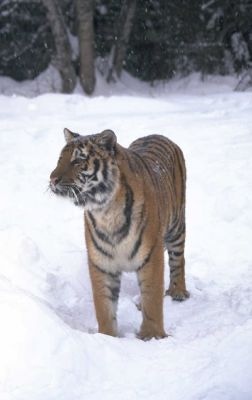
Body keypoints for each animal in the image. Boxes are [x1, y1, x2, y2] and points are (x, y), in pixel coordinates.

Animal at [49, 128, 189, 340]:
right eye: (60, 159)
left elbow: (152, 298)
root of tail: (157, 135)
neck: (106, 211)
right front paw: (107, 337)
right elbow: (104, 305)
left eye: (78, 160)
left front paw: (152, 335)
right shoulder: (101, 262)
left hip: (176, 227)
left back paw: (178, 292)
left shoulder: (151, 256)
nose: (52, 179)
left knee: (177, 260)